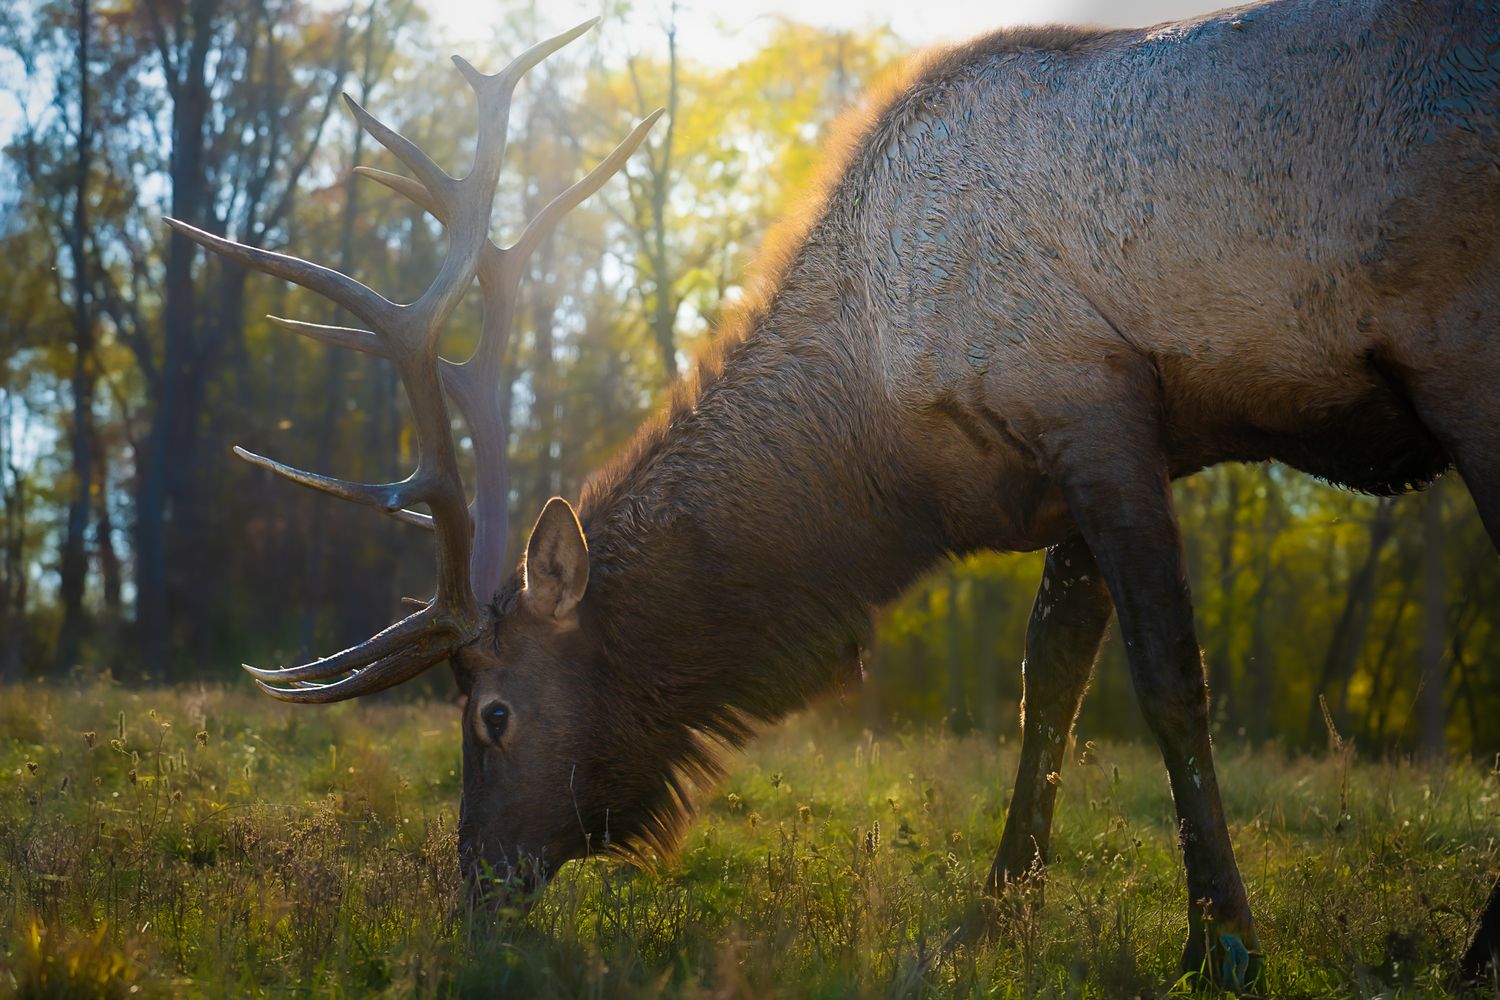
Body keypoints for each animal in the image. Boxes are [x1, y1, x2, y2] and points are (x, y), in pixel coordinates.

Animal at [167, 1, 1500, 989]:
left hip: (1465, 353)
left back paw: (1476, 951)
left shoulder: (1094, 398)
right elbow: (1050, 688)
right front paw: (991, 916)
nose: (474, 894)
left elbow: (1170, 683)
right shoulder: (1091, 454)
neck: (893, 443)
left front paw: (1223, 944)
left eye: (489, 712)